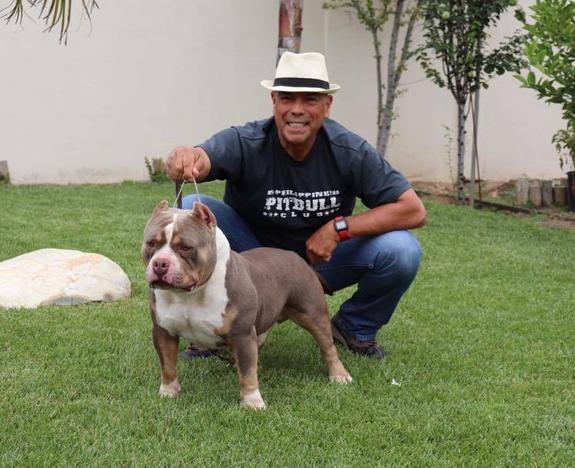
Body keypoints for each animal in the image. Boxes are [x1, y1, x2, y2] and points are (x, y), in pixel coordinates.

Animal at [141, 200, 352, 409]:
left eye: (185, 247)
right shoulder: (163, 332)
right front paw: (168, 391)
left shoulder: (241, 334)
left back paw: (339, 375)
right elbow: (167, 365)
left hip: (312, 314)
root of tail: (299, 258)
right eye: (151, 243)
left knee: (328, 346)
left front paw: (252, 401)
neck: (190, 294)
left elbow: (248, 372)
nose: (160, 263)